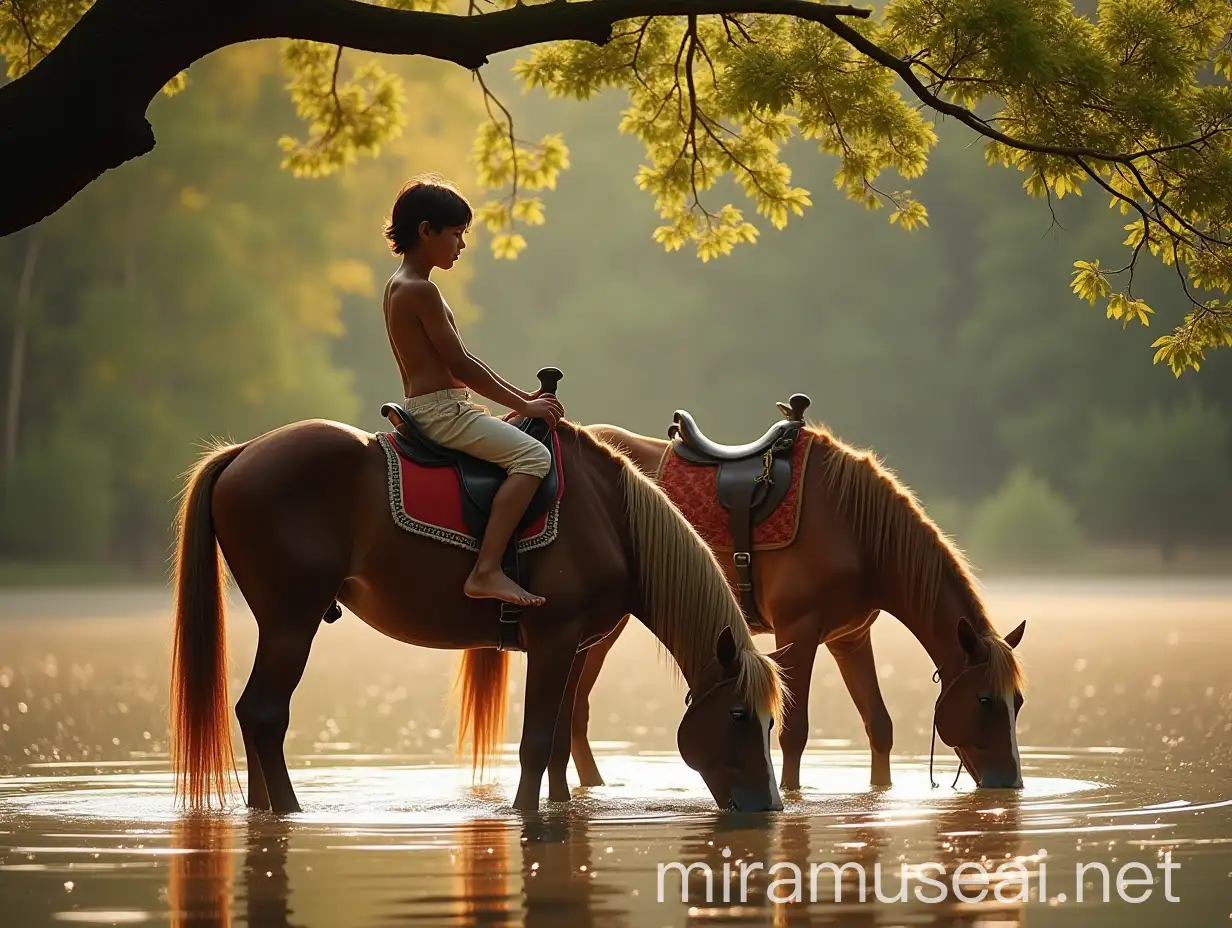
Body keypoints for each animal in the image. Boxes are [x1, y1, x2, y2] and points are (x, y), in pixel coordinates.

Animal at [168, 419, 783, 808]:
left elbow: (557, 745)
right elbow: (536, 741)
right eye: (737, 715)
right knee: (265, 714)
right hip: (291, 622)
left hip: (279, 624)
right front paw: (524, 812)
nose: (769, 806)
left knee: (252, 714)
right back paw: (290, 809)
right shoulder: (555, 640)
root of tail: (245, 451)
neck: (614, 522)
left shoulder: (575, 647)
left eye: (771, 721)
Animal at [569, 423, 1029, 793]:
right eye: (985, 700)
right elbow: (794, 733)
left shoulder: (850, 639)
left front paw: (881, 790)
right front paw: (791, 793)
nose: (1011, 782)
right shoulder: (798, 632)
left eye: (1019, 702)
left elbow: (879, 726)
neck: (857, 532)